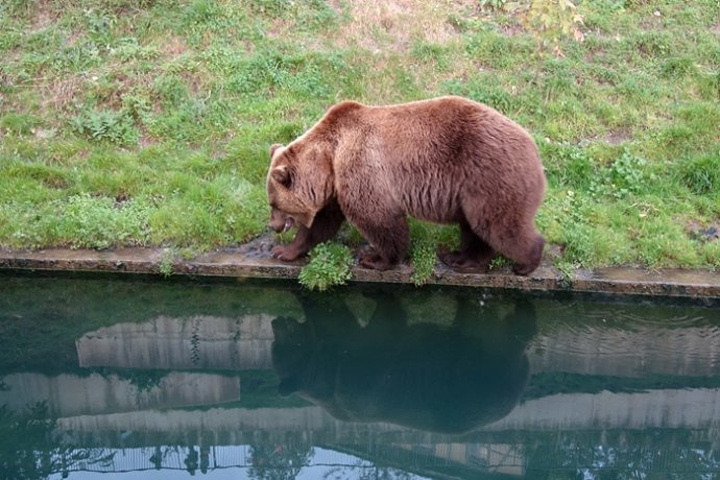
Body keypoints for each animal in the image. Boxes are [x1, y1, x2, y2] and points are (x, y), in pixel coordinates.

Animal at [268, 95, 544, 276]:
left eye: (274, 203)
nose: (273, 226)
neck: (329, 157)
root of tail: (534, 149)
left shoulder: (360, 165)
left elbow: (377, 217)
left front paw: (376, 258)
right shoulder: (336, 187)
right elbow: (321, 224)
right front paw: (285, 251)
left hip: (489, 174)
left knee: (498, 224)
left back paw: (526, 263)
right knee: (475, 228)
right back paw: (460, 258)